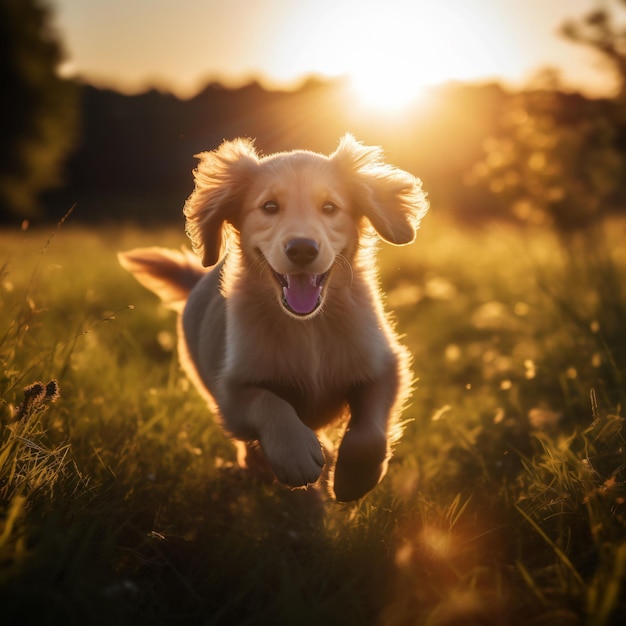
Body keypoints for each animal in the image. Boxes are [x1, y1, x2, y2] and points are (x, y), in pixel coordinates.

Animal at [119, 134, 426, 500]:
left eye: (330, 207)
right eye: (269, 207)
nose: (302, 249)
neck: (308, 326)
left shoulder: (386, 365)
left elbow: (370, 432)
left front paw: (354, 479)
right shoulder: (231, 390)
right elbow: (266, 402)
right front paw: (295, 453)